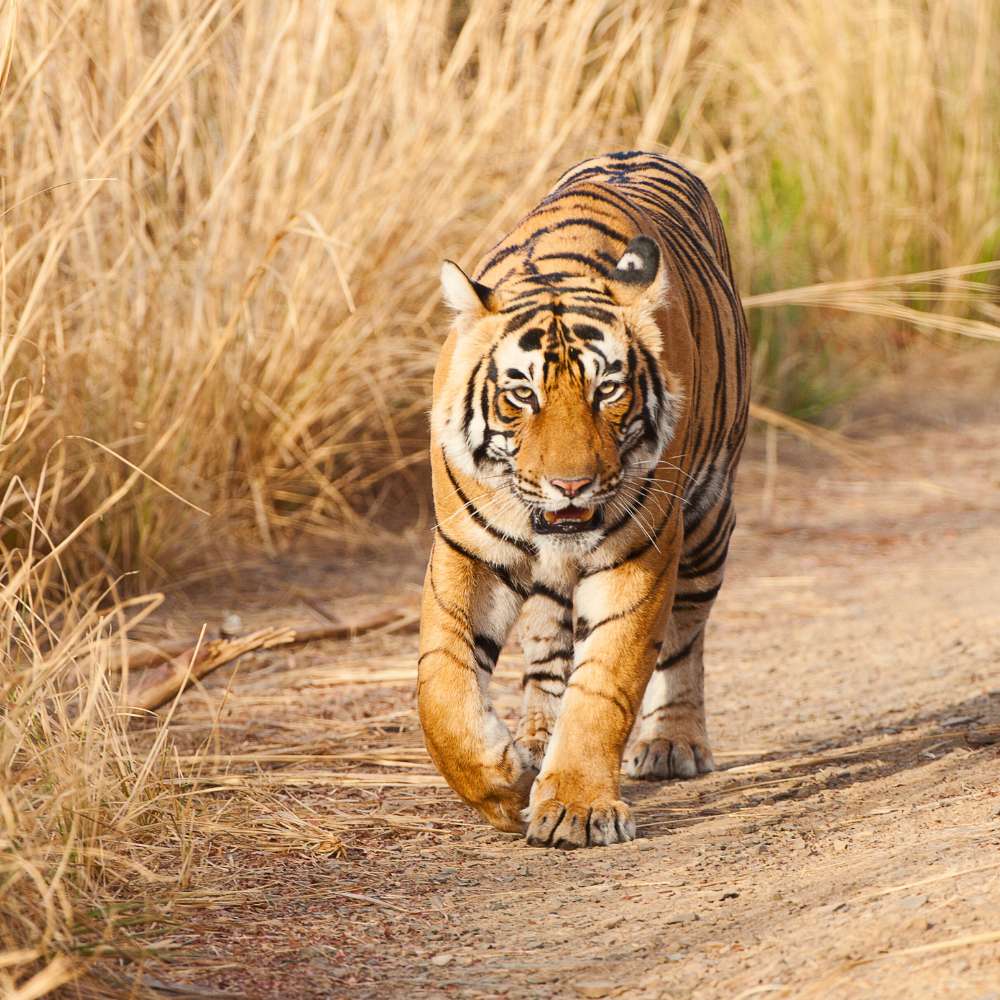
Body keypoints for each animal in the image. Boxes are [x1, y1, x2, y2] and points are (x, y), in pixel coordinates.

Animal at [417, 150, 749, 849]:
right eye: (522, 395)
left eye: (608, 391)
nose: (571, 485)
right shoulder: (466, 547)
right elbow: (442, 685)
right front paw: (500, 786)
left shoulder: (640, 555)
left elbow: (605, 685)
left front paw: (576, 807)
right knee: (547, 648)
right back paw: (536, 739)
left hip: (708, 522)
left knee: (686, 636)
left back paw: (672, 744)